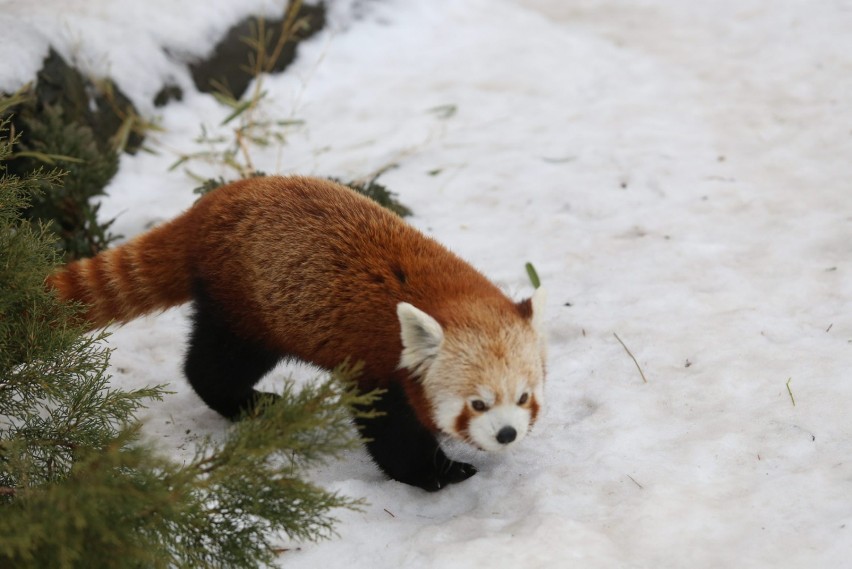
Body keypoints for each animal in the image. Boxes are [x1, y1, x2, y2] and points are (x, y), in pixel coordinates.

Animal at [48, 175, 544, 490]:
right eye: (477, 404)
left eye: (523, 397)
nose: (507, 435)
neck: (446, 299)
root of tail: (208, 206)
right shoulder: (379, 364)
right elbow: (392, 436)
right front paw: (438, 474)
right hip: (248, 308)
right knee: (215, 365)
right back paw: (249, 403)